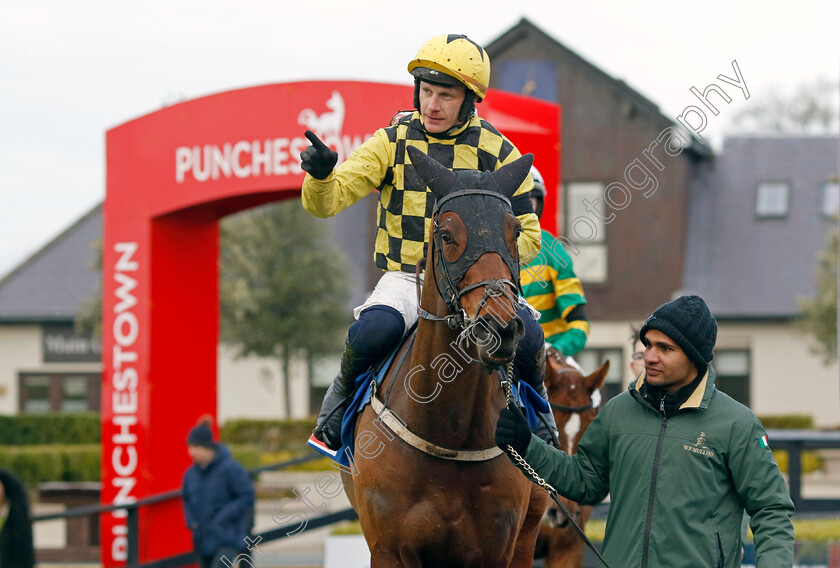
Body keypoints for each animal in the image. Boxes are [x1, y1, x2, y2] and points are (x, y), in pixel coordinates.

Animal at [338, 148, 548, 568]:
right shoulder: (388, 550)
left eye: (514, 232)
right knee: (375, 327)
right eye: (447, 235)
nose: (499, 327)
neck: (449, 431)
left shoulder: (497, 549)